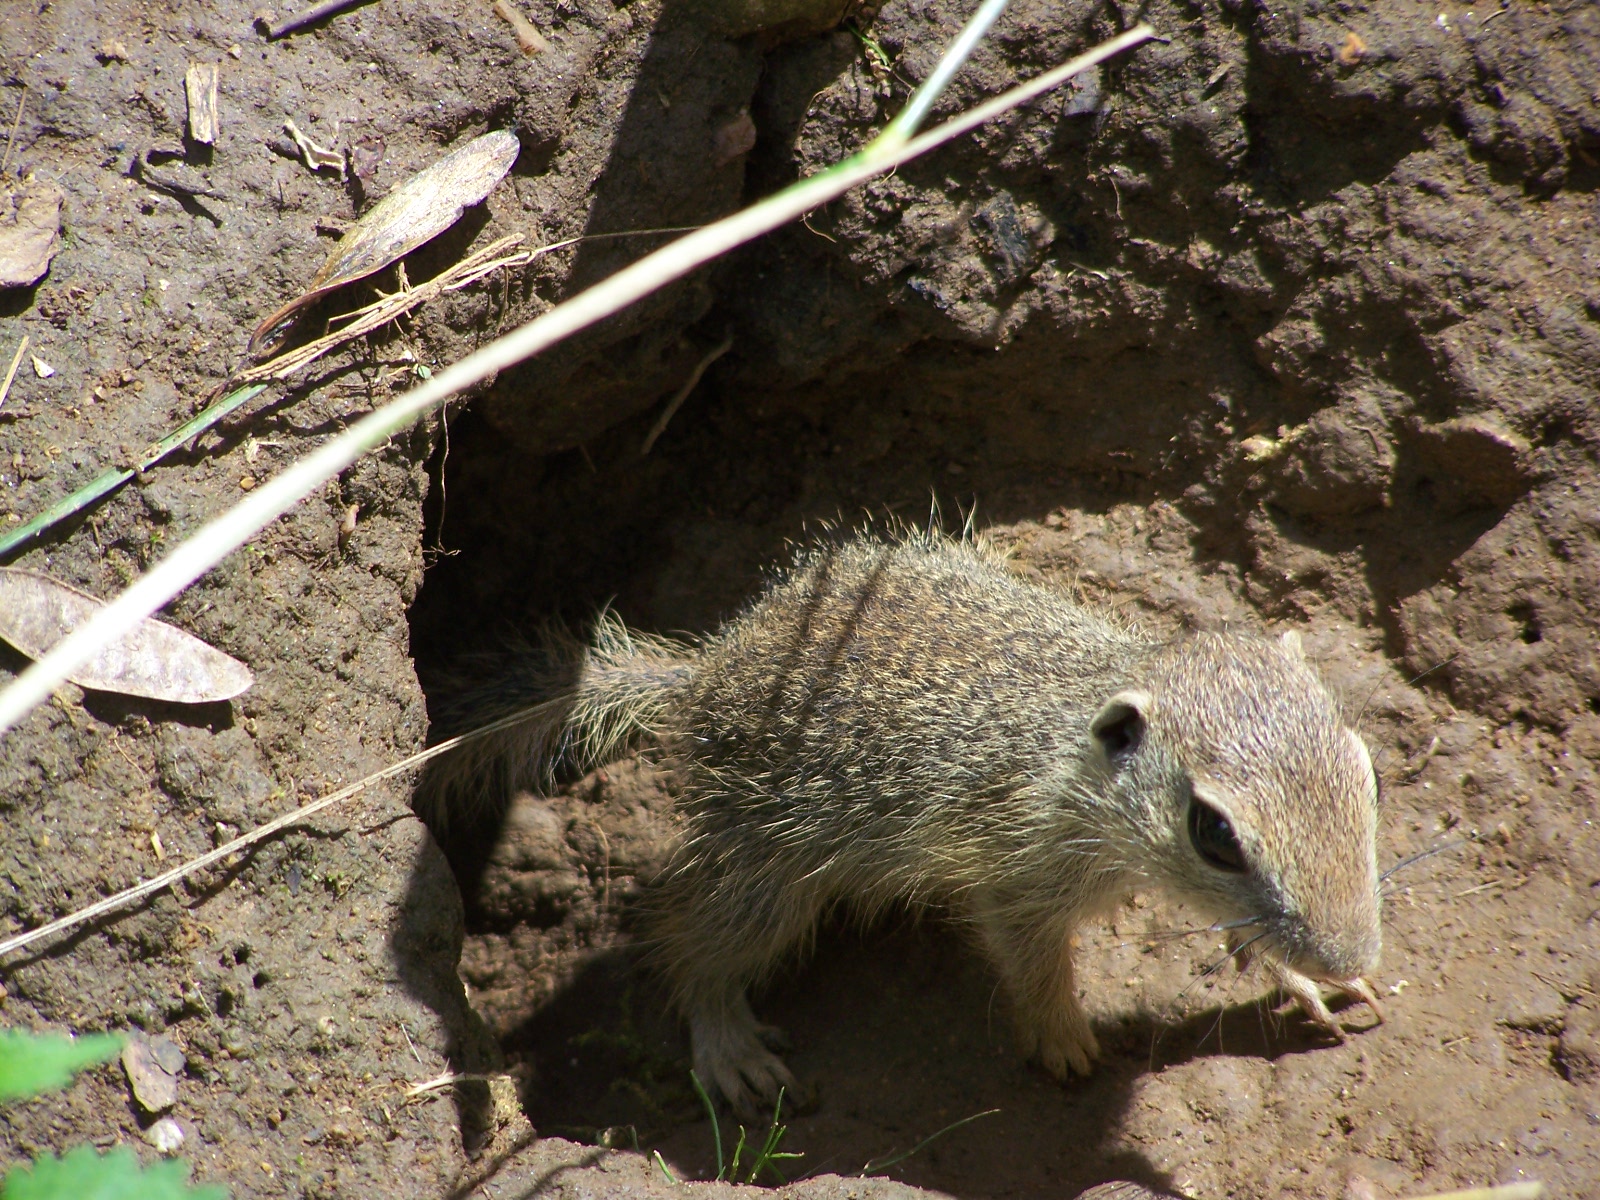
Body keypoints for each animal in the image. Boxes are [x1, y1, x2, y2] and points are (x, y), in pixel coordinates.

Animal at [421, 530, 1385, 1116]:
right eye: (1213, 833)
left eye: (1365, 767)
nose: (1350, 954)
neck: (1073, 753)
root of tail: (704, 673)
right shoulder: (1016, 870)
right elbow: (1030, 958)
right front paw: (1063, 1034)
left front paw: (1298, 980)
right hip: (763, 860)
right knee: (690, 937)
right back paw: (727, 1042)